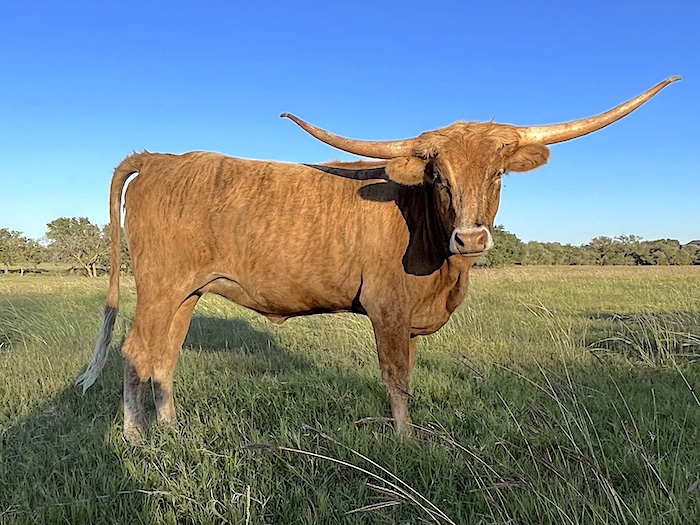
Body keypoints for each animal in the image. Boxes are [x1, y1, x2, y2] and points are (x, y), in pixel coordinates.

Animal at [76, 75, 680, 440]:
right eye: (438, 175)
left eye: (497, 173)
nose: (471, 239)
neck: (443, 267)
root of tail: (160, 158)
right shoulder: (387, 310)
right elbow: (397, 377)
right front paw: (406, 441)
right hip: (159, 287)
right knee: (135, 352)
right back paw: (136, 441)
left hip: (187, 292)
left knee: (164, 357)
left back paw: (171, 430)